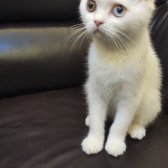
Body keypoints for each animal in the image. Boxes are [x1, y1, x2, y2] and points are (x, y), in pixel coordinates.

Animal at [79, 0, 162, 157]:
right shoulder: (95, 90)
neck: (113, 52)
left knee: (142, 117)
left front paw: (115, 143)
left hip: (151, 99)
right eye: (90, 6)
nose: (97, 21)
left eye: (119, 10)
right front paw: (94, 140)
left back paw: (136, 128)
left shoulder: (131, 96)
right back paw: (89, 118)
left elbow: (121, 123)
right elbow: (97, 117)